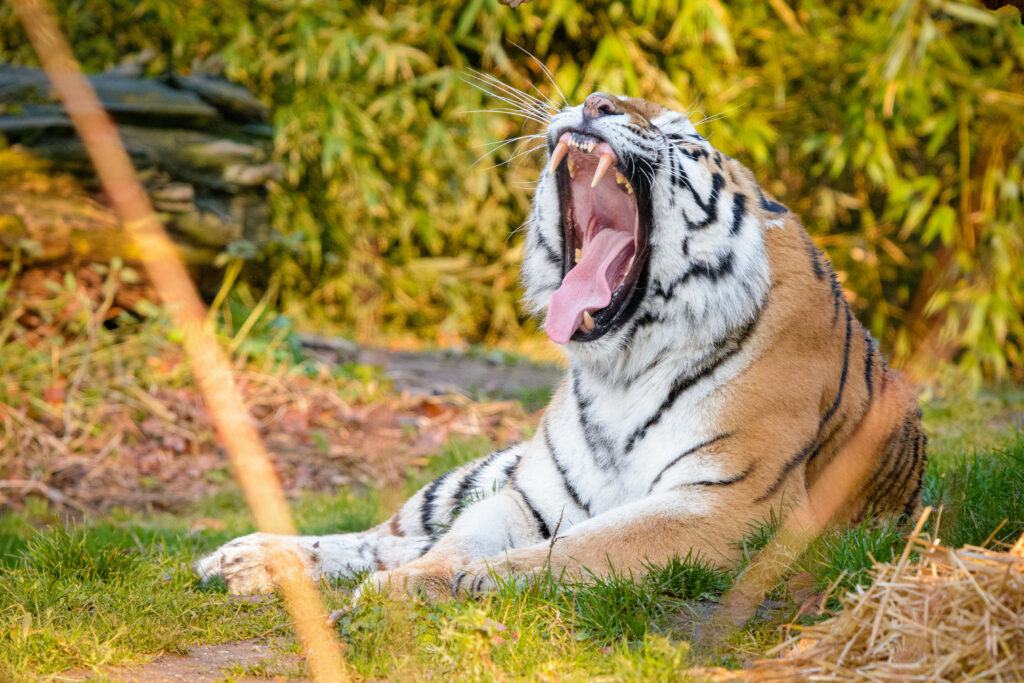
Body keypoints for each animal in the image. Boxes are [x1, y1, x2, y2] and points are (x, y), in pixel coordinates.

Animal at [193, 92, 927, 598]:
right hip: (484, 470)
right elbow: (456, 541)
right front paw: (421, 583)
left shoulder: (728, 503)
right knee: (389, 535)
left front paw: (478, 580)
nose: (597, 100)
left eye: (681, 135)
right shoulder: (533, 493)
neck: (624, 367)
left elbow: (590, 544)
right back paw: (240, 559)